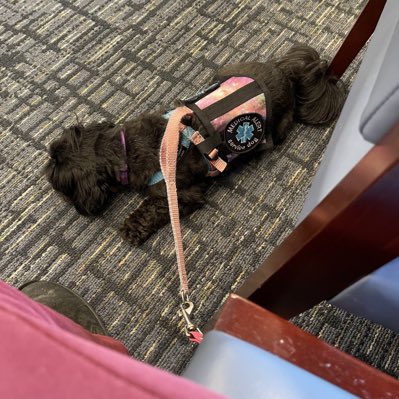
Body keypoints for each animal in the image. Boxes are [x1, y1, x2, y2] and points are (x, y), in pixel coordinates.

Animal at [46, 46, 346, 247]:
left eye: (55, 171)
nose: (46, 167)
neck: (124, 148)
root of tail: (286, 73)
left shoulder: (180, 193)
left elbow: (155, 208)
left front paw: (133, 227)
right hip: (228, 71)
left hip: (279, 127)